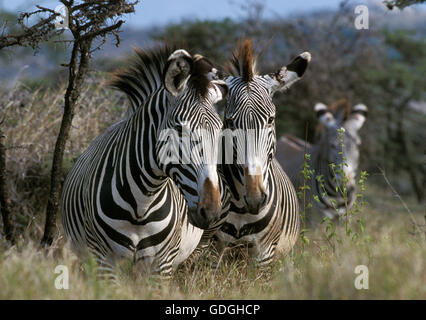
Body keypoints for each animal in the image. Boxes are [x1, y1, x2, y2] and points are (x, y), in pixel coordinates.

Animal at [60, 45, 230, 278]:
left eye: (219, 131)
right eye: (179, 129)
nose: (211, 210)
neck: (141, 204)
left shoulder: (162, 264)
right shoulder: (105, 261)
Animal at [215, 39, 312, 264]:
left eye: (271, 119)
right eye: (230, 122)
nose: (255, 198)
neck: (242, 210)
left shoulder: (264, 254)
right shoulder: (210, 250)